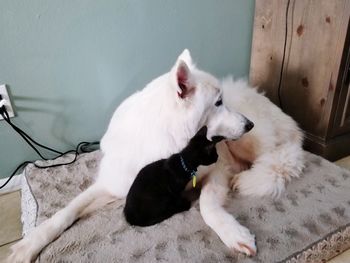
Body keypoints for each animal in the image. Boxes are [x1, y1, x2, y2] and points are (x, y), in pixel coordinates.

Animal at [8, 49, 304, 262]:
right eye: (218, 103)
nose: (248, 124)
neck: (167, 141)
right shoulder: (112, 185)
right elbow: (65, 212)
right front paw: (27, 246)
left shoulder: (217, 171)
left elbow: (207, 206)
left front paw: (232, 233)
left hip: (248, 144)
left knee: (275, 158)